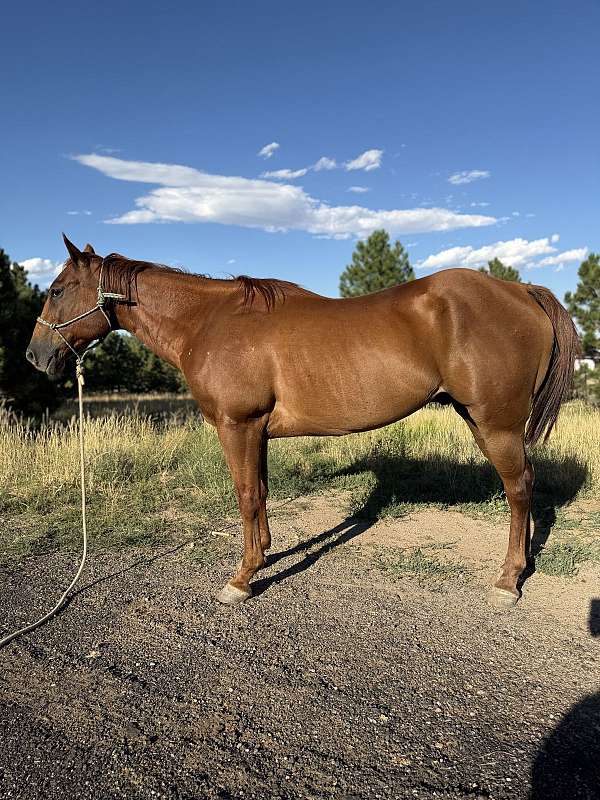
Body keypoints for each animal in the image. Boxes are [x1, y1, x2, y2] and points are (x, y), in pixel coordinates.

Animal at [26, 235, 580, 609]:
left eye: (57, 290)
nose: (35, 356)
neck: (208, 322)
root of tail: (520, 290)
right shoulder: (257, 431)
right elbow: (261, 493)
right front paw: (265, 556)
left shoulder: (237, 426)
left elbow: (246, 496)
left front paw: (241, 579)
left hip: (497, 424)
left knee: (519, 489)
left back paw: (508, 580)